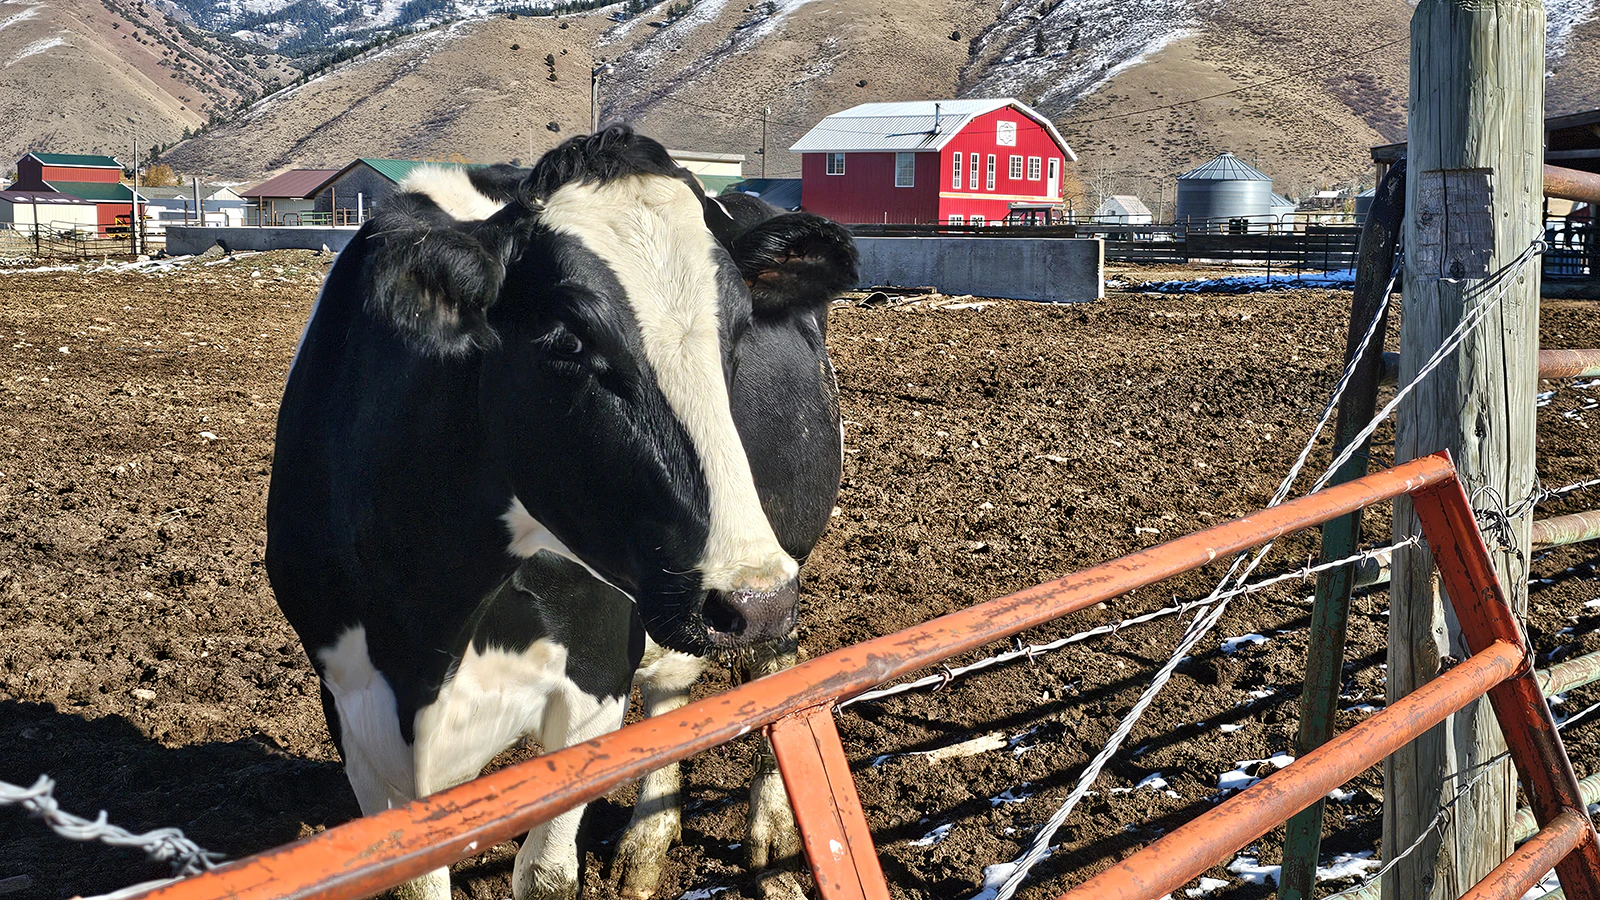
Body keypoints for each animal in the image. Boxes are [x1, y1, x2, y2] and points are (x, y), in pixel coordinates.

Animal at [265, 126, 854, 900]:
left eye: (736, 331)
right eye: (569, 339)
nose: (753, 598)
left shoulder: (594, 677)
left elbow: (543, 874)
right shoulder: (355, 712)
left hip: (784, 543)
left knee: (775, 667)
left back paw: (771, 835)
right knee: (674, 685)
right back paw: (645, 845)